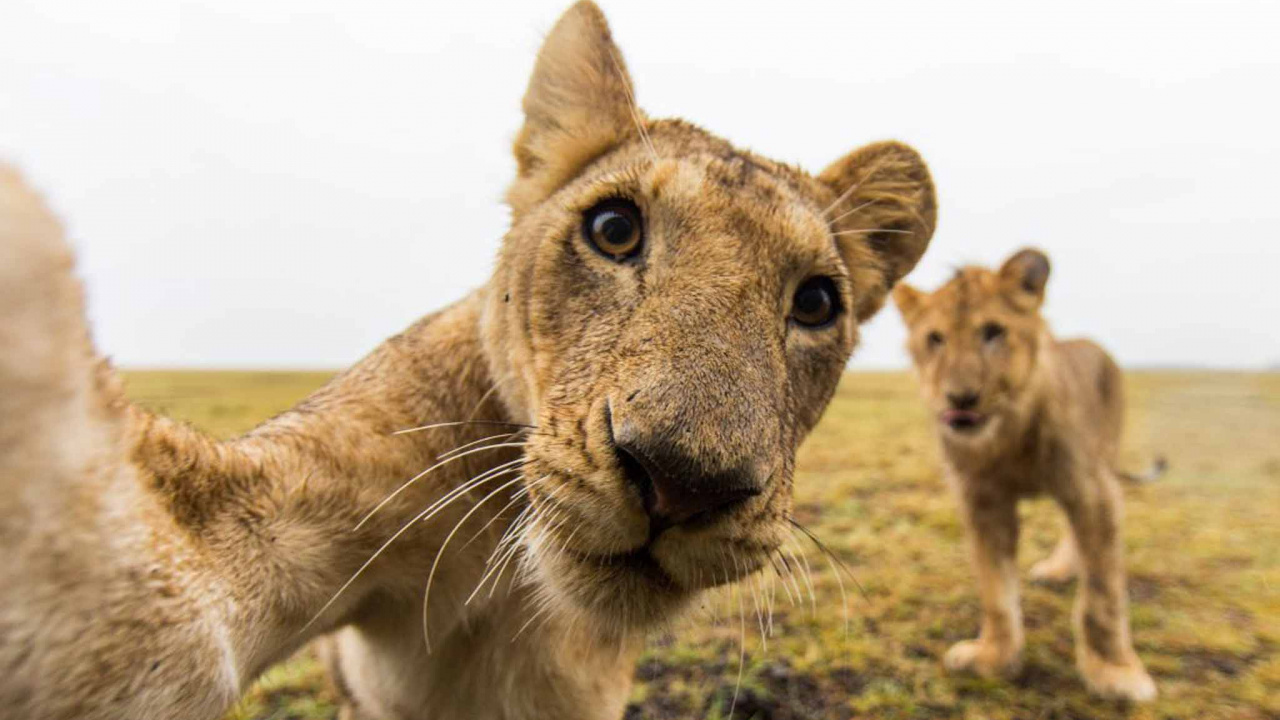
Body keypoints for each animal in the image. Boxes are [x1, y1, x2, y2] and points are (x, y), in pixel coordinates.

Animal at [892, 248, 1159, 702]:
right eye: (935, 338)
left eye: (993, 332)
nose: (961, 399)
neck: (1007, 436)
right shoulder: (982, 501)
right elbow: (995, 590)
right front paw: (994, 658)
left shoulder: (1092, 490)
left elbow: (1102, 593)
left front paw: (1115, 672)